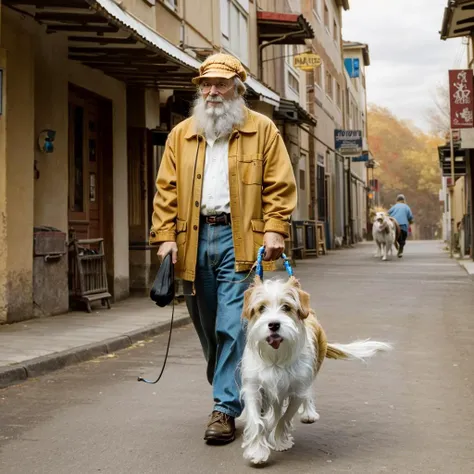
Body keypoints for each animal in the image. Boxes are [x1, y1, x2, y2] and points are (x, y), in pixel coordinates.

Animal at [241, 276, 392, 464]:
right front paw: (258, 451)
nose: (274, 325)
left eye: (286, 307)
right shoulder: (254, 389)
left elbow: (284, 418)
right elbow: (258, 421)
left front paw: (279, 440)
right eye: (261, 308)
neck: (276, 358)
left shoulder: (297, 390)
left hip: (311, 372)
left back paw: (308, 412)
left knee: (307, 393)